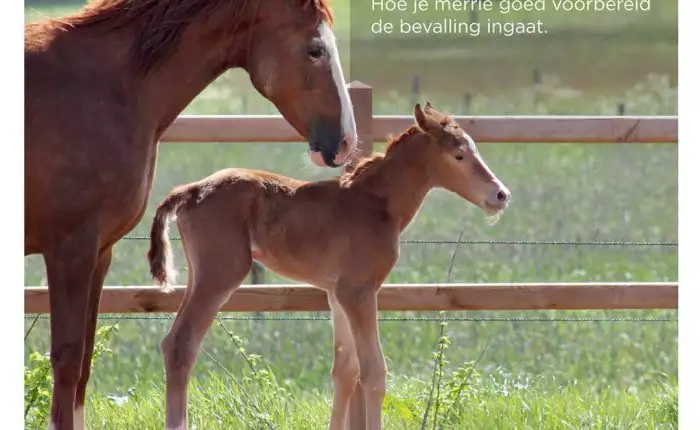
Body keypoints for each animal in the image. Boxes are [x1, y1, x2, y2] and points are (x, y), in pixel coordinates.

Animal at [24, 1, 358, 428]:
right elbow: (67, 362)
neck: (108, 86)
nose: (346, 141)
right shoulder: (70, 251)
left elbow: (83, 363)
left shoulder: (99, 253)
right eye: (316, 49)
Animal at [146, 102, 511, 429]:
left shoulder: (337, 294)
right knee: (180, 344)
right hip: (220, 275)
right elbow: (374, 371)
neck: (376, 203)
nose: (501, 195)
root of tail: (190, 191)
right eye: (459, 155)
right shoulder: (359, 292)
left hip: (199, 275)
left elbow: (345, 371)